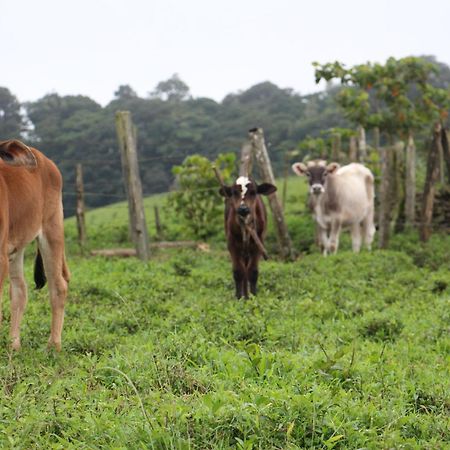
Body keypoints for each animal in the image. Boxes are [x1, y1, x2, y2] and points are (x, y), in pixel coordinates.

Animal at [0, 139, 69, 350]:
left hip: (52, 227)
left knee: (58, 286)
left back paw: (53, 346)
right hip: (16, 246)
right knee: (20, 291)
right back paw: (14, 345)